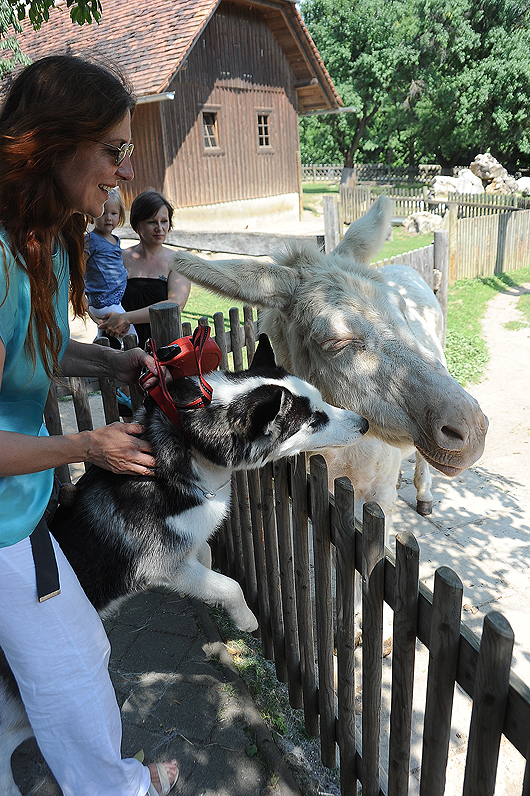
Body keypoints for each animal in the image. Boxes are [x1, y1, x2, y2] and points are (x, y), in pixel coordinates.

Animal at [0, 333, 368, 796]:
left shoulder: (192, 548)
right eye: (315, 420)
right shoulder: (164, 564)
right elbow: (230, 584)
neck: (189, 451)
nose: (364, 424)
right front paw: (245, 617)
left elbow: (210, 564)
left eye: (322, 403)